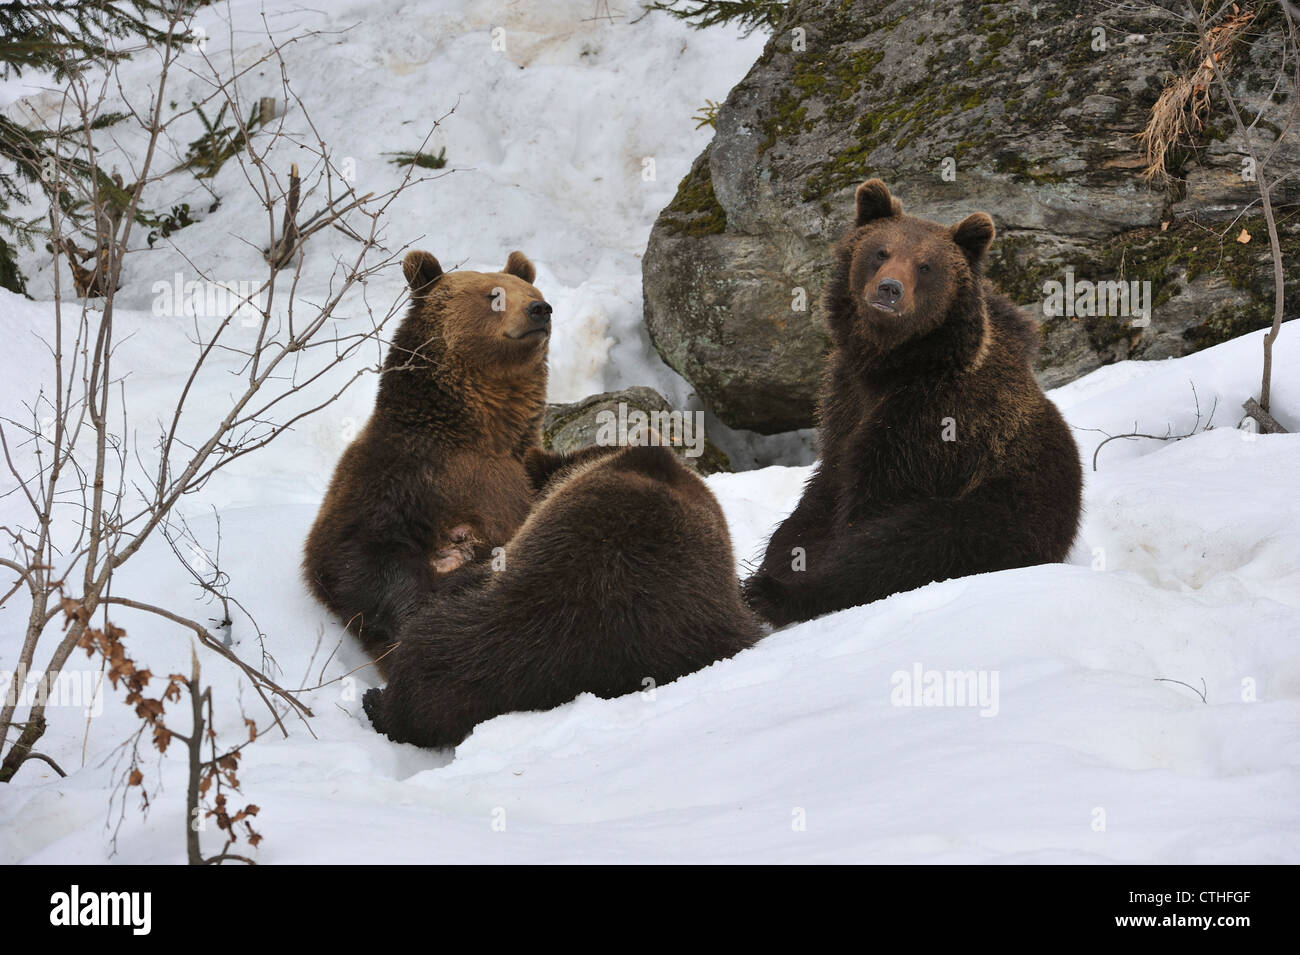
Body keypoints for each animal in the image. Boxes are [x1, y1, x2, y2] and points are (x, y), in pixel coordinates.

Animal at [303, 248, 558, 671]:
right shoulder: (398, 478)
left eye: (532, 291)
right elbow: (359, 557)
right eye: (493, 295)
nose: (540, 309)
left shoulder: (523, 468)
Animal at [741, 179, 1082, 627]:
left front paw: (791, 579)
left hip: (1002, 511)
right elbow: (820, 494)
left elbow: (871, 508)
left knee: (911, 543)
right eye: (881, 252)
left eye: (925, 266)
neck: (892, 367)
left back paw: (777, 594)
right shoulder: (845, 400)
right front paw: (783, 557)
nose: (890, 289)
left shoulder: (933, 423)